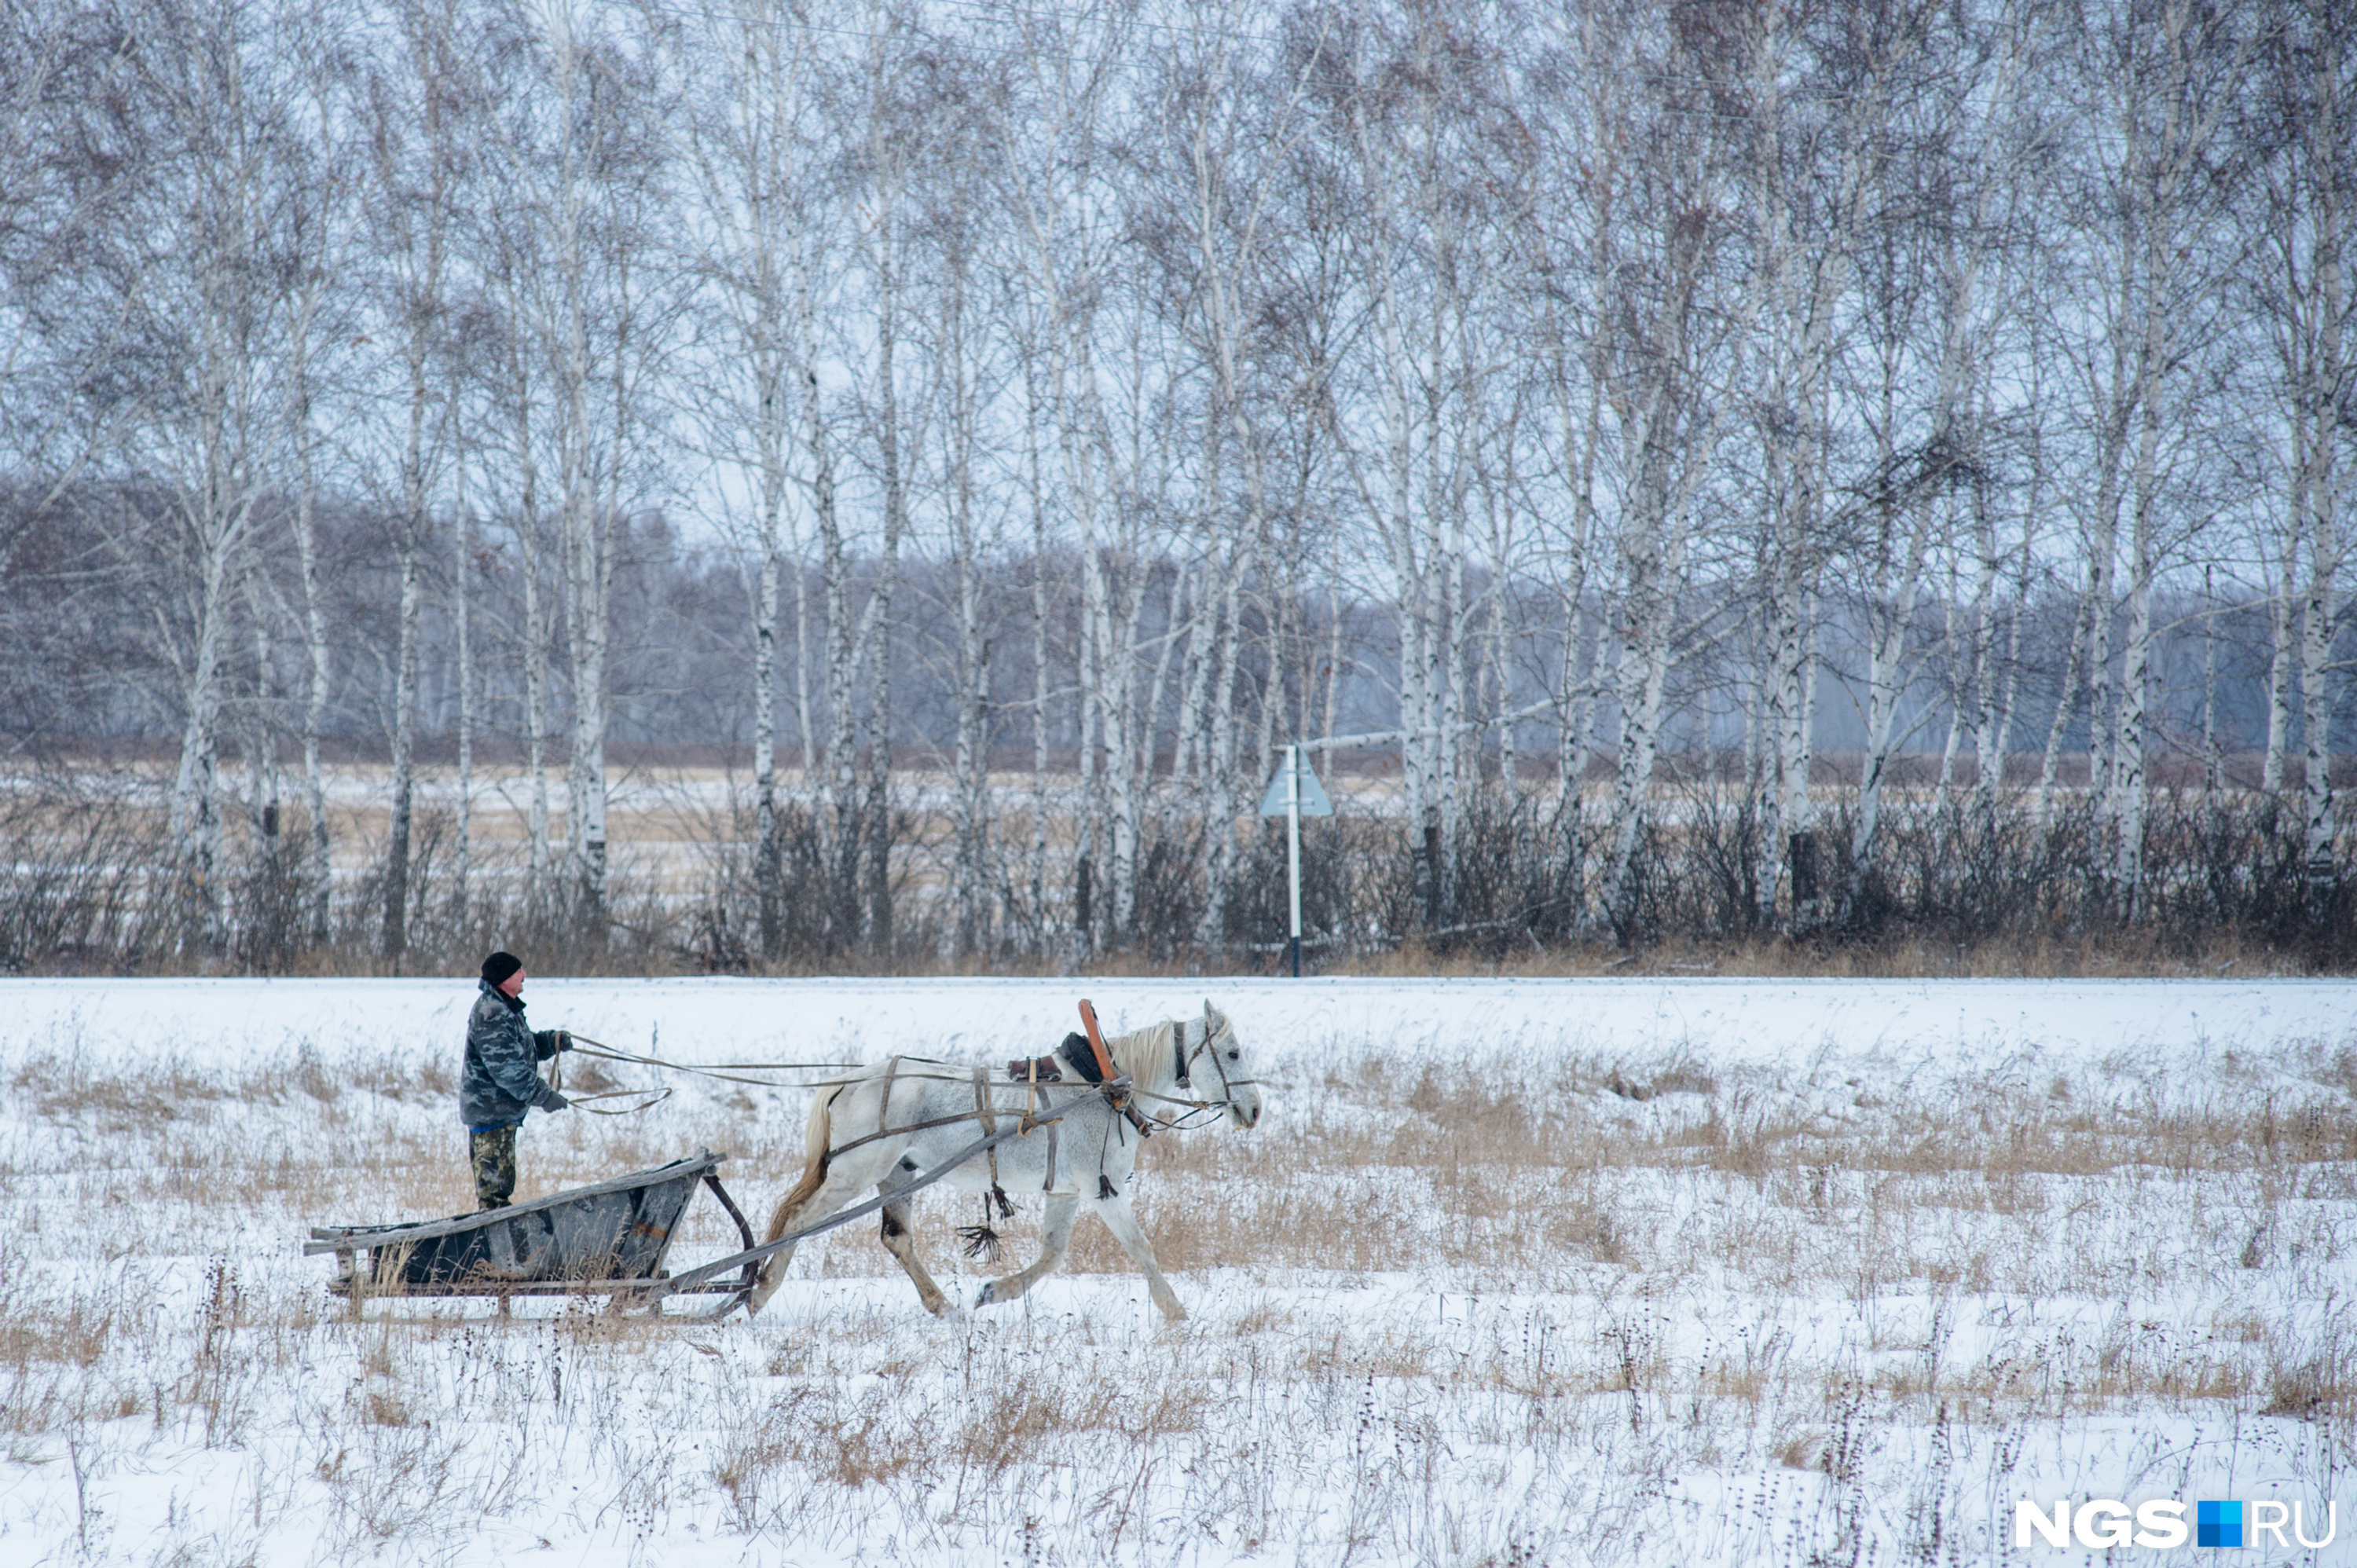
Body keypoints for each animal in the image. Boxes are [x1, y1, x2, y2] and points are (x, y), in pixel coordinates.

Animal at [754, 995, 1273, 1310]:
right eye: (1232, 1054)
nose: (1254, 1110)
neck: (1099, 1086)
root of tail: (849, 1080)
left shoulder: (1065, 1191)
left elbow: (1053, 1254)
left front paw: (995, 1291)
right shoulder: (1101, 1189)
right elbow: (1141, 1248)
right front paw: (1175, 1313)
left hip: (898, 1173)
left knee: (896, 1239)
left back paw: (944, 1308)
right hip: (854, 1172)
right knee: (798, 1222)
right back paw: (760, 1290)